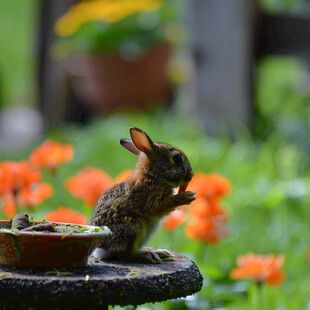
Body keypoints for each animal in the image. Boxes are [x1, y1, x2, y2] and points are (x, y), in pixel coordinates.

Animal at [91, 127, 195, 262]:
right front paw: (187, 197)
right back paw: (149, 255)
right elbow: (163, 205)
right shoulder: (149, 200)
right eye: (177, 158)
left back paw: (161, 253)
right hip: (133, 228)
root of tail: (102, 250)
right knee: (124, 255)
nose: (191, 175)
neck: (152, 176)